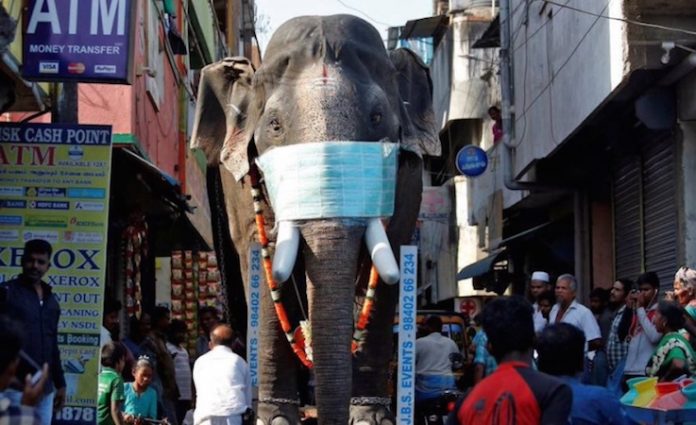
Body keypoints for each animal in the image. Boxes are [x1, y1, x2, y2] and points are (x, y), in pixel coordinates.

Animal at [191, 14, 440, 425]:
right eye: (275, 125)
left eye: (376, 118)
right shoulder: (243, 193)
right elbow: (267, 264)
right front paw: (274, 420)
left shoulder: (408, 181)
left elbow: (385, 261)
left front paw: (370, 418)